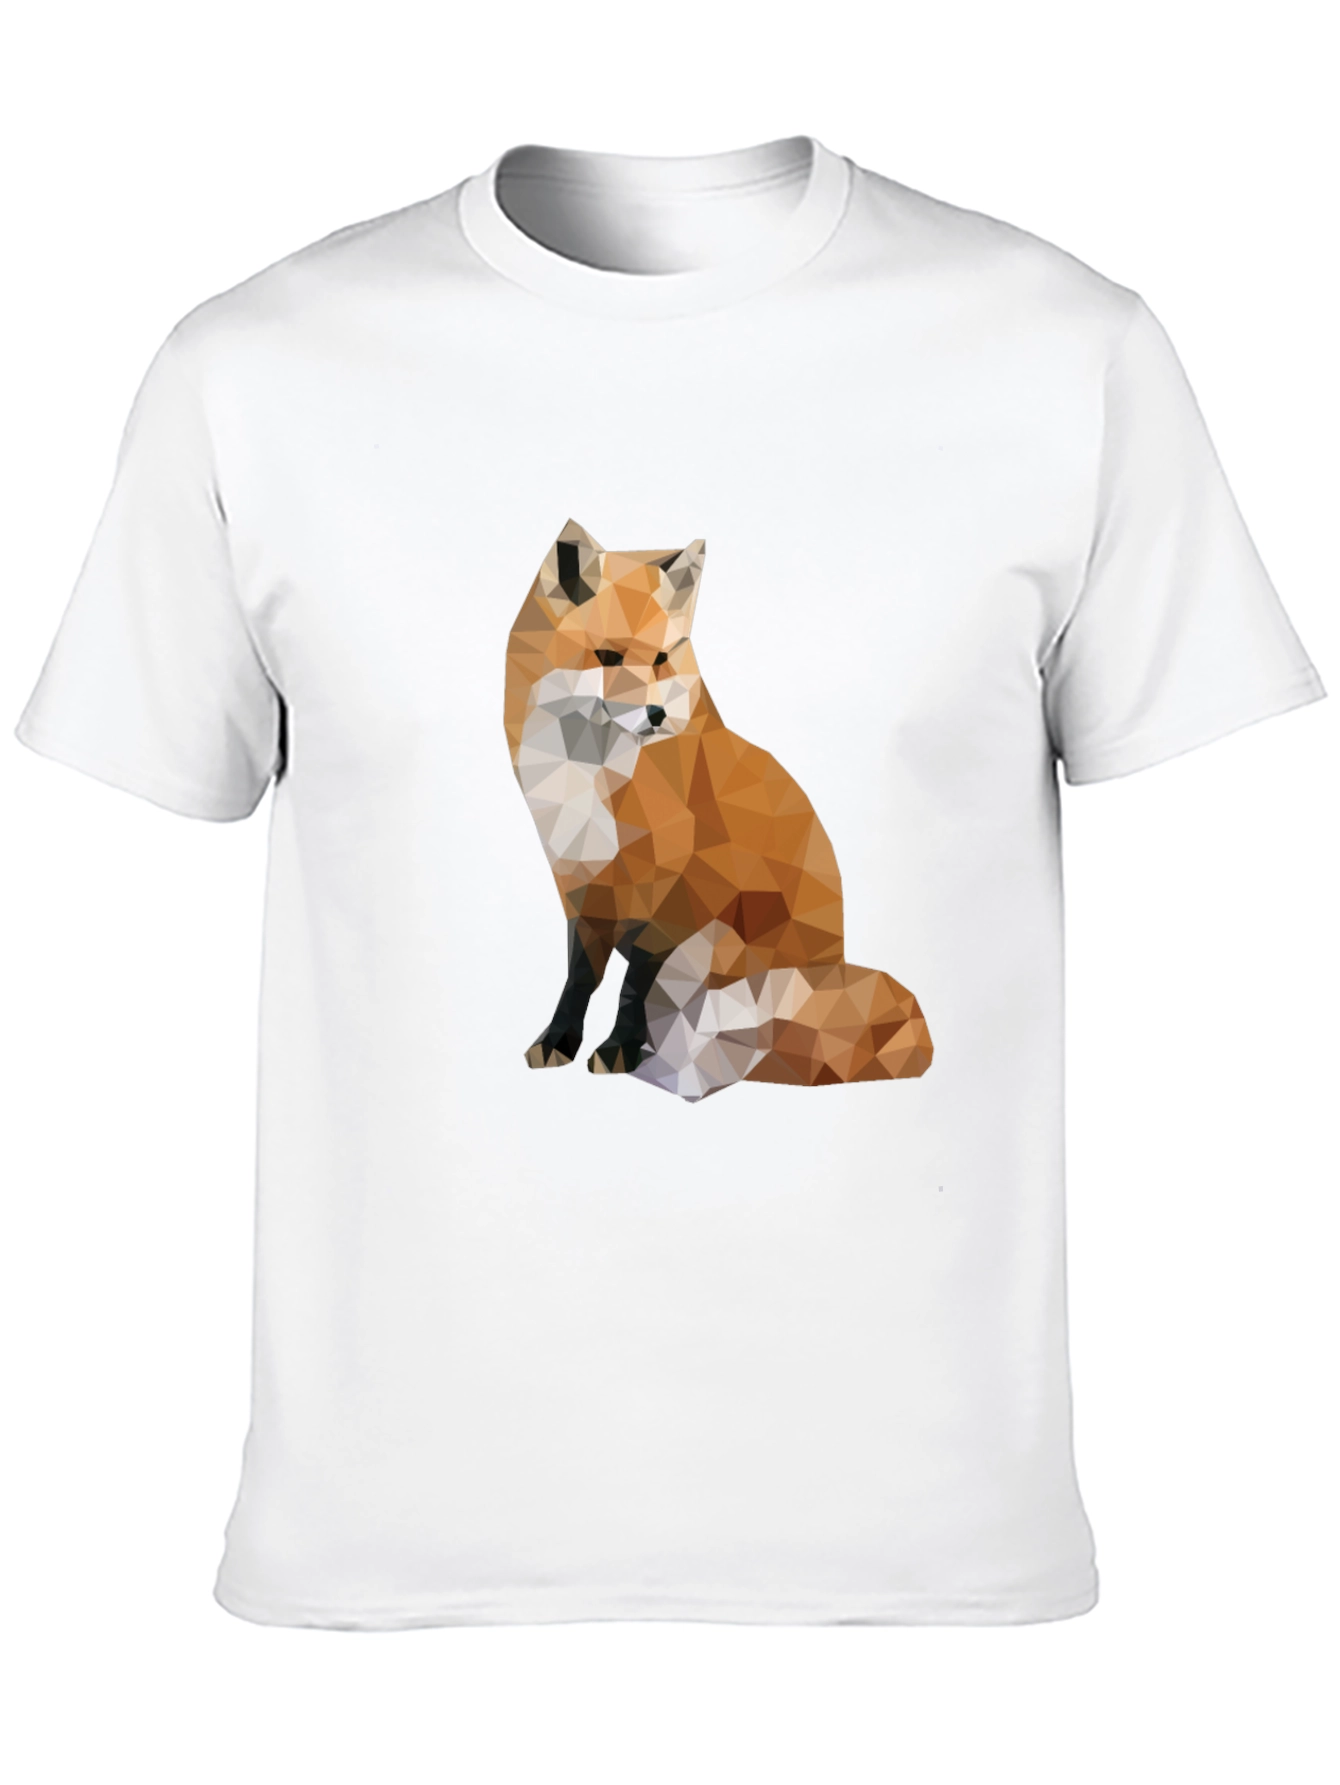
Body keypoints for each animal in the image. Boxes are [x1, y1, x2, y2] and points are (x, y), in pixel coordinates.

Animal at [504, 519, 933, 1103]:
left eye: (662, 659)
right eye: (609, 658)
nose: (657, 715)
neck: (595, 778)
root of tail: (835, 967)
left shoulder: (672, 896)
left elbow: (633, 985)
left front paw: (619, 1049)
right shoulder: (582, 887)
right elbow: (580, 978)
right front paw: (557, 1041)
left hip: (722, 949)